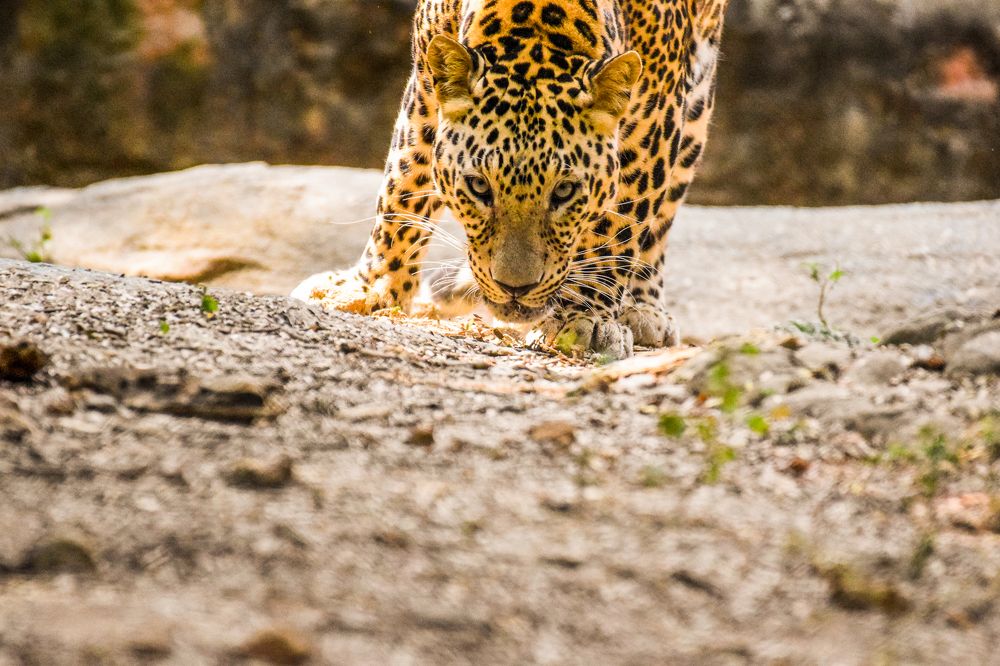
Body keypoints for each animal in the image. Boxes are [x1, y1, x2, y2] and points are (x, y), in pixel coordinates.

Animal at [292, 0, 728, 359]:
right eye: (479, 187)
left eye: (565, 191)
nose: (514, 288)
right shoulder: (426, 83)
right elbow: (403, 181)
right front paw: (370, 287)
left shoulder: (656, 109)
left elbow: (620, 224)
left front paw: (585, 317)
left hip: (696, 103)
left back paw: (642, 309)